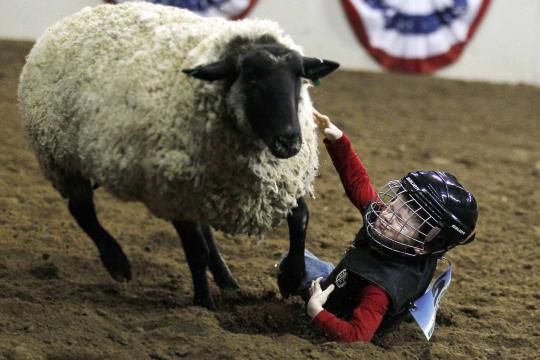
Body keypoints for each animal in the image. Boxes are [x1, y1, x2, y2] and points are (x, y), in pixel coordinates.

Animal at [19, 1, 340, 308]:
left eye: (299, 78)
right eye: (251, 78)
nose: (289, 141)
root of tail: (67, 21)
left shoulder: (279, 182)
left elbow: (301, 220)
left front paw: (292, 276)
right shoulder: (174, 191)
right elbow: (195, 250)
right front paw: (203, 304)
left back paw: (228, 281)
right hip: (60, 156)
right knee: (81, 210)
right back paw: (117, 263)